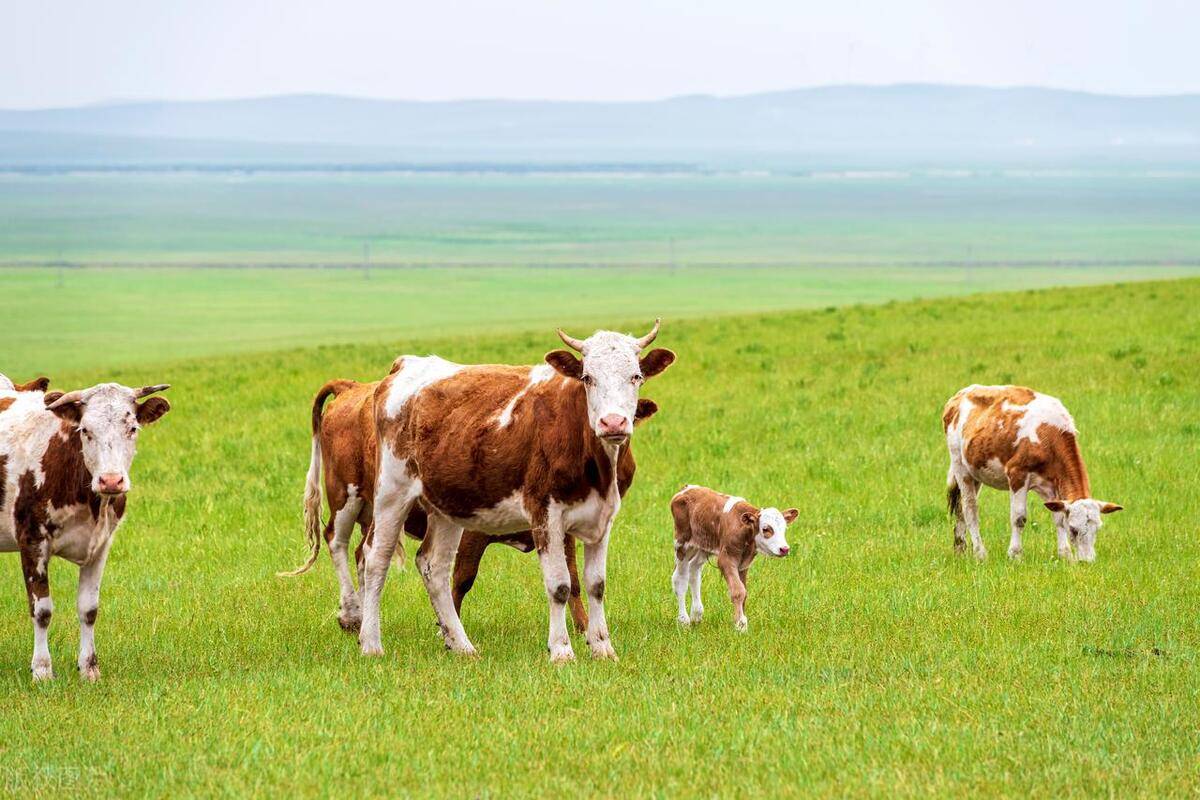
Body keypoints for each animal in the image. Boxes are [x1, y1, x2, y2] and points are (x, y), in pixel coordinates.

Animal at [0, 379, 171, 681]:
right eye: (86, 431)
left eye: (132, 428)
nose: (111, 480)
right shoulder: (32, 540)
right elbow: (41, 610)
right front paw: (42, 670)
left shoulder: (101, 544)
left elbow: (89, 609)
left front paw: (89, 668)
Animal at [280, 371, 657, 633]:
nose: (614, 426)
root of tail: (353, 387)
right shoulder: (474, 530)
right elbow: (460, 577)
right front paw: (448, 627)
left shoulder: (561, 527)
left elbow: (573, 579)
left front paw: (582, 627)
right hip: (347, 495)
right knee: (337, 542)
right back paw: (350, 614)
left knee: (363, 553)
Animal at [355, 319, 676, 662]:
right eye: (588, 377)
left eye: (636, 376)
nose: (613, 422)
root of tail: (407, 365)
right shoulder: (545, 514)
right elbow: (560, 585)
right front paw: (561, 651)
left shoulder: (602, 517)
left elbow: (596, 584)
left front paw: (603, 647)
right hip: (392, 492)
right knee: (376, 559)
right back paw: (371, 643)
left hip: (446, 504)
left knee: (434, 566)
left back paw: (462, 645)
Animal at [667, 482, 796, 633]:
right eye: (766, 529)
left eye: (784, 529)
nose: (784, 549)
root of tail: (687, 488)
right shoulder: (726, 559)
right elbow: (738, 591)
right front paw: (740, 624)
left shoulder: (744, 563)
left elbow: (744, 591)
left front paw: (742, 621)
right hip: (682, 543)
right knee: (680, 578)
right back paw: (684, 621)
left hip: (704, 545)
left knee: (694, 570)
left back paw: (696, 615)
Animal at [945, 383, 1123, 563]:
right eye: (1074, 529)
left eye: (1097, 528)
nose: (1087, 561)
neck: (1048, 435)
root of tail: (961, 394)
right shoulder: (1017, 474)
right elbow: (1019, 518)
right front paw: (1015, 554)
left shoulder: (1051, 484)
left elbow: (1058, 518)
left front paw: (1065, 555)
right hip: (960, 465)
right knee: (970, 508)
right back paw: (980, 553)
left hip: (975, 472)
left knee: (959, 508)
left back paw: (960, 549)